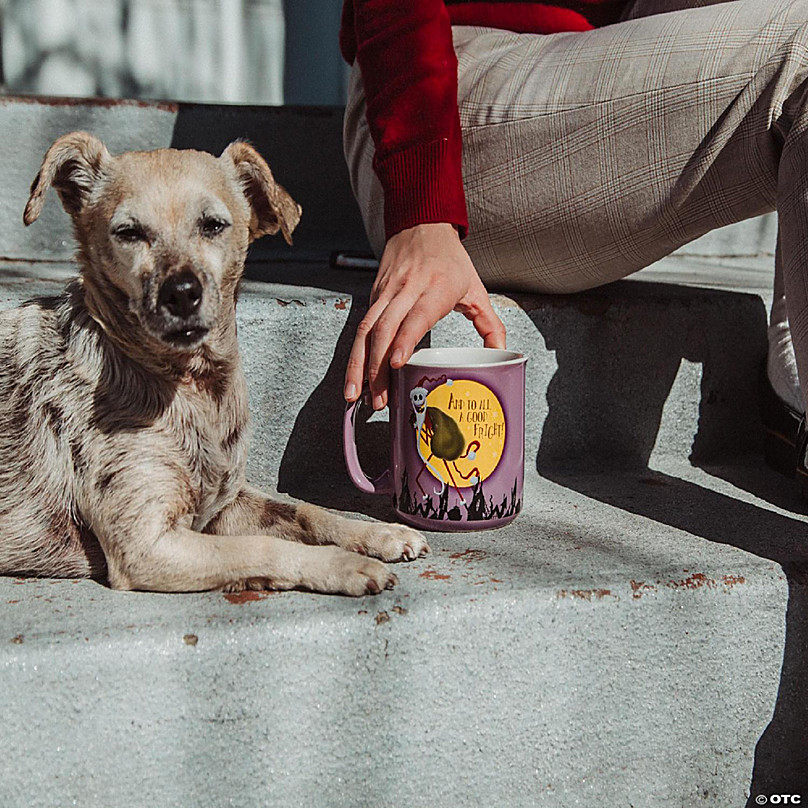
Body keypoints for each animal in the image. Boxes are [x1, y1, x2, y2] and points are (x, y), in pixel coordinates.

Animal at [0, 133, 430, 596]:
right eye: (128, 233)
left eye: (213, 225)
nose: (181, 292)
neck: (194, 384)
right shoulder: (147, 545)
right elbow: (264, 547)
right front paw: (346, 565)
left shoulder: (228, 501)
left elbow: (305, 512)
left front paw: (378, 534)